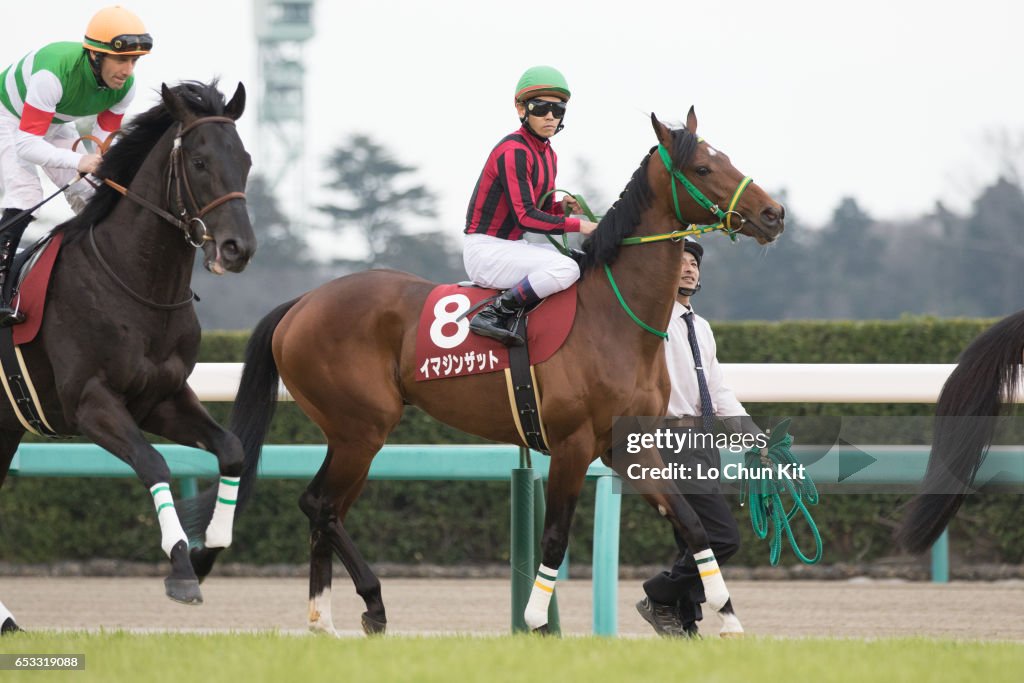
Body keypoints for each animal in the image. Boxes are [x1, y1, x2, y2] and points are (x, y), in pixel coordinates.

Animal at [0, 77, 254, 634]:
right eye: (199, 161)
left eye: (245, 159)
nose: (238, 249)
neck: (137, 286)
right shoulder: (90, 403)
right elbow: (154, 464)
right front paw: (181, 568)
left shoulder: (162, 398)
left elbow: (232, 450)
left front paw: (209, 550)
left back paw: (6, 619)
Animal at [186, 107, 782, 634]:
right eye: (702, 167)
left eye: (726, 156)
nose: (773, 213)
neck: (615, 315)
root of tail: (302, 302)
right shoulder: (571, 444)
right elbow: (555, 536)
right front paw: (536, 620)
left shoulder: (629, 446)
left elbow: (692, 523)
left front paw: (729, 617)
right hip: (362, 428)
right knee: (320, 505)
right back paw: (371, 604)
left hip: (351, 436)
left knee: (324, 510)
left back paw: (324, 621)